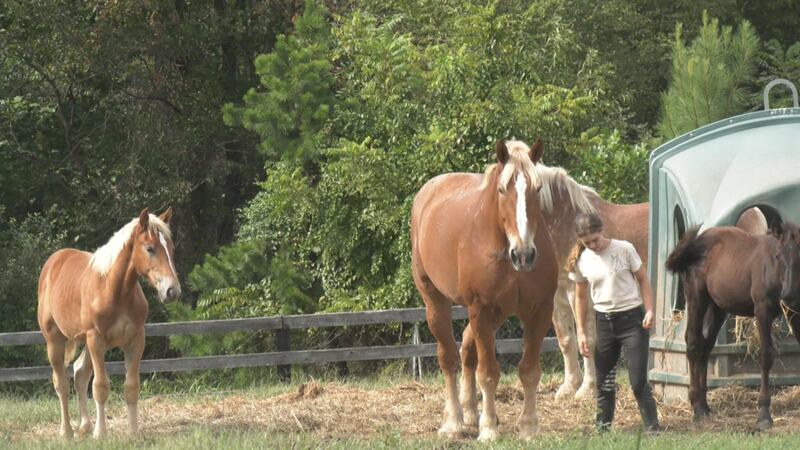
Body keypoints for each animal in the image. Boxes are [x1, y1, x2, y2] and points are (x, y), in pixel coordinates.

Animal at [37, 208, 181, 438]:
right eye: (150, 248)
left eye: (171, 248)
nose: (172, 291)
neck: (115, 290)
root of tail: (54, 261)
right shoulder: (96, 339)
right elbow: (100, 386)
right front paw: (101, 433)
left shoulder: (135, 340)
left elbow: (131, 387)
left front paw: (133, 433)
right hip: (55, 339)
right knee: (61, 382)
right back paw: (66, 432)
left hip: (86, 342)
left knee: (79, 373)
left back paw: (85, 426)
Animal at [411, 139, 558, 440]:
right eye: (502, 190)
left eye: (537, 189)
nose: (524, 255)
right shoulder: (481, 309)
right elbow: (488, 373)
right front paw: (489, 429)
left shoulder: (540, 311)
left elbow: (529, 371)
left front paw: (529, 427)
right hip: (437, 302)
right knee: (449, 358)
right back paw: (453, 421)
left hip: (495, 315)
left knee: (467, 350)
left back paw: (469, 414)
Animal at [666, 221, 800, 430]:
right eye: (778, 255)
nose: (789, 296)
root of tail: (697, 241)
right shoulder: (763, 309)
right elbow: (765, 355)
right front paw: (763, 414)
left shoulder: (795, 312)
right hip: (696, 297)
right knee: (693, 343)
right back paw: (697, 406)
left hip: (718, 307)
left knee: (705, 346)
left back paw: (705, 405)